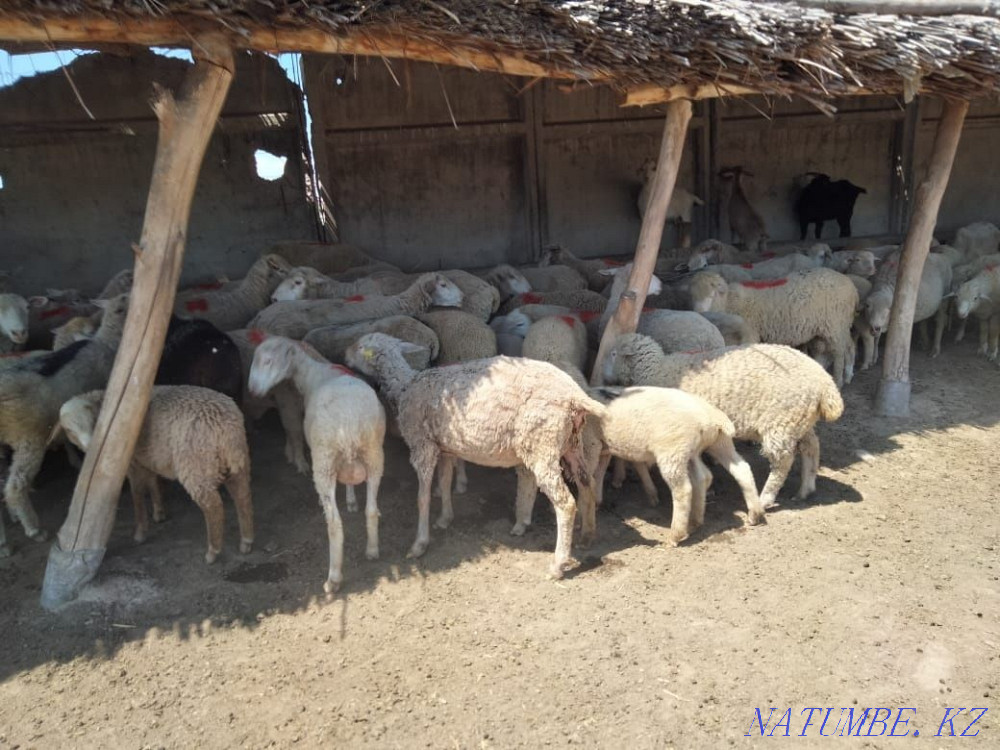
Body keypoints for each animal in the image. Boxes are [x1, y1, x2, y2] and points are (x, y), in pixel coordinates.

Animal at [54, 386, 253, 562]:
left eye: (94, 424)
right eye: (69, 431)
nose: (91, 449)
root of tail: (225, 426)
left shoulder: (133, 463)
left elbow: (137, 494)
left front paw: (140, 532)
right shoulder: (148, 458)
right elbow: (153, 484)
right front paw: (159, 512)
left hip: (196, 465)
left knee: (214, 507)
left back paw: (213, 551)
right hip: (236, 462)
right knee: (242, 496)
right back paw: (246, 541)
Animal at [249, 336, 386, 593]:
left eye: (269, 361)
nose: (252, 390)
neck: (315, 374)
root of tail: (350, 422)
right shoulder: (348, 461)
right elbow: (350, 483)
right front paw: (351, 500)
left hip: (323, 461)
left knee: (334, 525)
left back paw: (333, 579)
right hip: (373, 455)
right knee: (372, 510)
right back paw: (372, 550)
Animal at [345, 333, 607, 578]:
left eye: (360, 346)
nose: (344, 357)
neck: (405, 387)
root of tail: (574, 395)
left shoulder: (423, 446)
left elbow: (423, 497)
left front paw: (419, 544)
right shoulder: (446, 448)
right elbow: (445, 483)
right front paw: (445, 518)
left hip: (543, 444)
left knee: (566, 503)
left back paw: (558, 564)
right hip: (571, 443)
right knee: (587, 484)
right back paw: (588, 535)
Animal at [604, 334, 843, 508]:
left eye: (614, 353)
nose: (604, 379)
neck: (658, 369)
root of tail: (826, 383)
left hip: (781, 423)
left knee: (782, 462)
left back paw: (766, 498)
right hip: (798, 421)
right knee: (812, 447)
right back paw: (806, 488)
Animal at [690, 269, 858, 387]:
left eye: (711, 295)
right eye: (693, 296)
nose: (699, 314)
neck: (728, 302)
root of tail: (850, 285)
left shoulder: (750, 334)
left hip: (835, 324)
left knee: (839, 352)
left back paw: (839, 380)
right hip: (835, 326)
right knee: (848, 346)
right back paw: (847, 375)